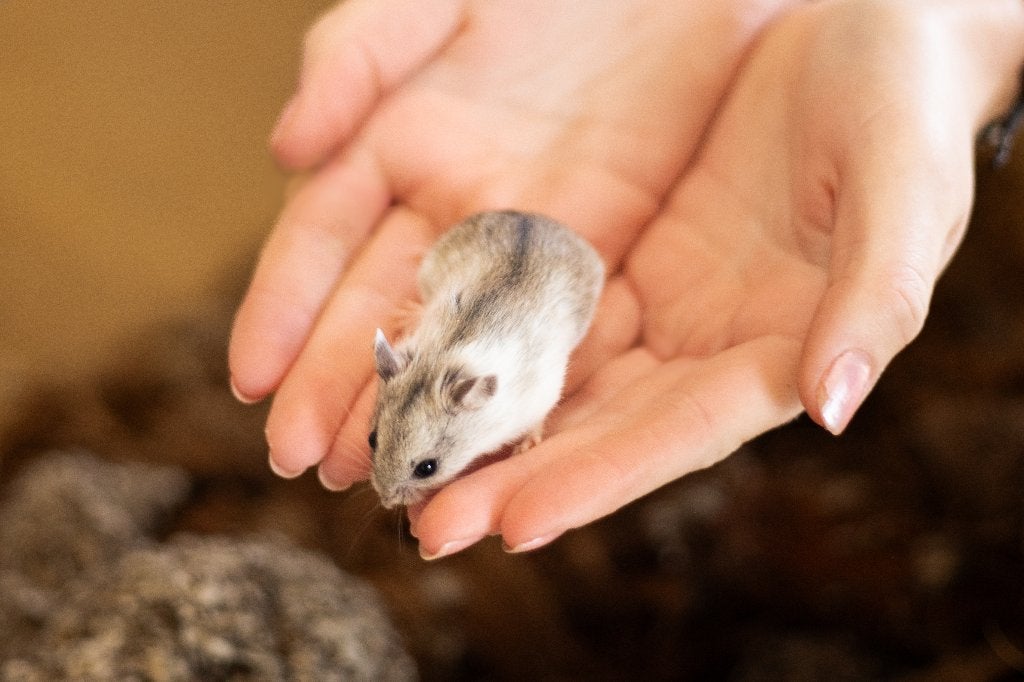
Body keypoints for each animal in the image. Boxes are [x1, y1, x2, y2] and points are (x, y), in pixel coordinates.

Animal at [369, 210, 605, 509]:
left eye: (427, 468)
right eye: (372, 439)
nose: (386, 502)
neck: (441, 362)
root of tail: (532, 217)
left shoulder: (541, 396)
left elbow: (537, 422)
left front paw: (524, 448)